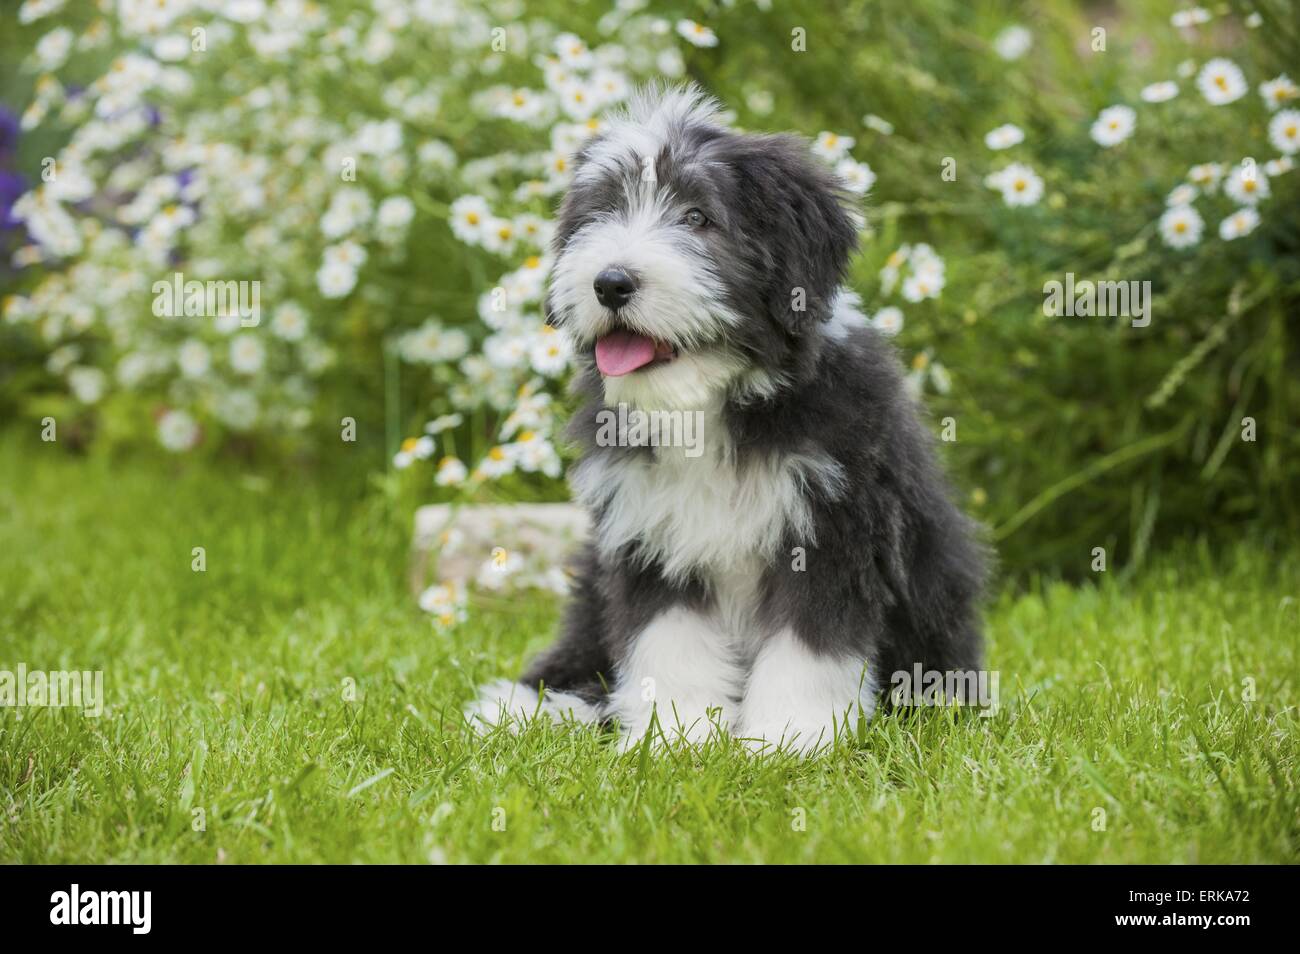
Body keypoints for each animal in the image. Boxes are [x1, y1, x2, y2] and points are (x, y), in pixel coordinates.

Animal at [467, 87, 982, 753]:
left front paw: (787, 740)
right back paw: (533, 705)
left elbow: (807, 647)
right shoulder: (649, 536)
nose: (611, 282)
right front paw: (674, 739)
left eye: (697, 217)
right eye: (602, 212)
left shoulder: (832, 527)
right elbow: (670, 642)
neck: (706, 406)